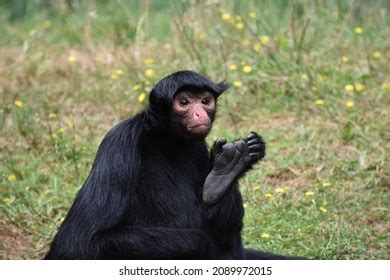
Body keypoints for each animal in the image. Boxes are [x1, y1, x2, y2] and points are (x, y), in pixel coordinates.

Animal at [45, 70, 296, 260]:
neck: (166, 140)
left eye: (205, 101)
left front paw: (226, 171)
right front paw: (202, 243)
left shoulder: (198, 148)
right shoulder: (121, 142)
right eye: (184, 102)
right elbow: (77, 244)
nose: (199, 112)